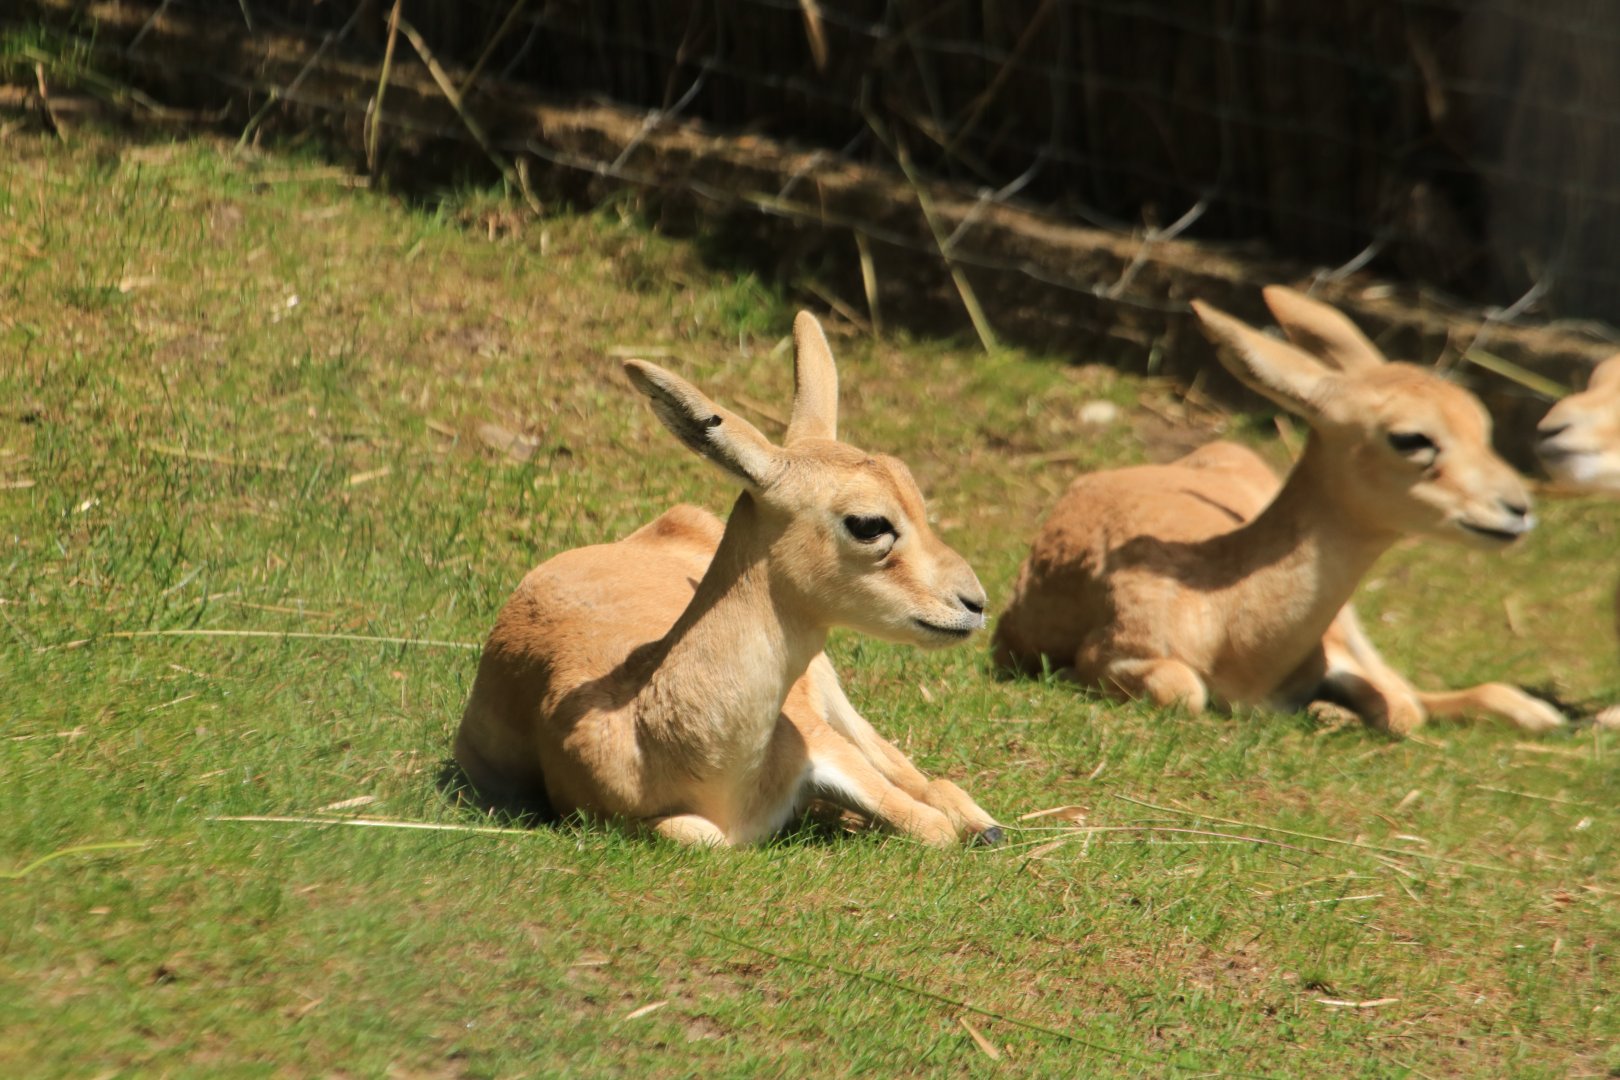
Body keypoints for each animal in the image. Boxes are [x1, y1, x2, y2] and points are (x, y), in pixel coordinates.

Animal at [993, 286, 1565, 737]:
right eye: (1411, 438)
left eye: (1481, 425)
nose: (1517, 510)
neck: (1235, 623)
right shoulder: (1123, 651)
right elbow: (1184, 690)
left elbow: (1397, 710)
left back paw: (1540, 714)